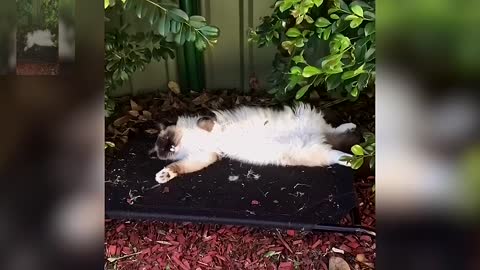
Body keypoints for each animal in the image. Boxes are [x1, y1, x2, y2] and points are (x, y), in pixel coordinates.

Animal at [152, 103, 358, 184]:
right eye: (163, 148)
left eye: (168, 142)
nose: (168, 148)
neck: (190, 141)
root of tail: (317, 135)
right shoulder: (204, 155)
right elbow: (179, 167)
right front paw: (164, 175)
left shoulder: (210, 125)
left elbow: (206, 122)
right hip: (311, 149)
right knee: (335, 149)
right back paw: (353, 155)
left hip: (312, 125)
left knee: (334, 132)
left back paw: (352, 136)